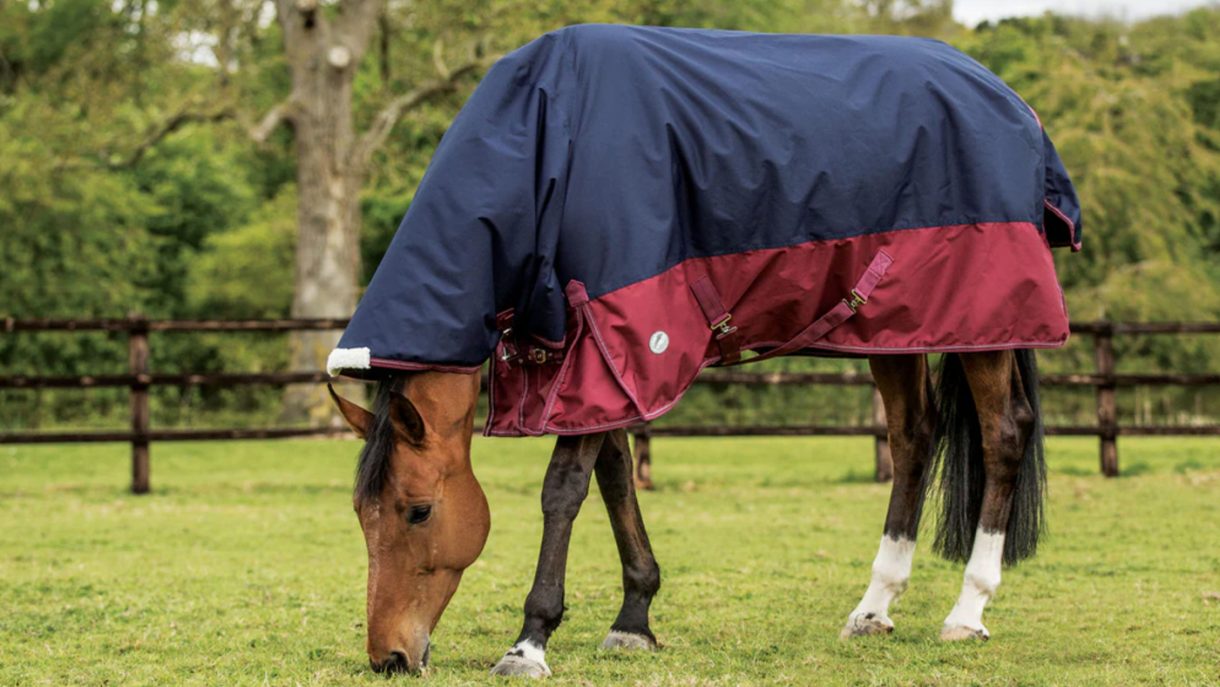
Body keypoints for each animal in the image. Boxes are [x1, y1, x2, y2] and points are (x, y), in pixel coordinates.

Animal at [325, 24, 1079, 675]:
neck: (547, 140)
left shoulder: (614, 333)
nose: (390, 657)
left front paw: (530, 641)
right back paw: (873, 608)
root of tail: (1012, 103)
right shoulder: (606, 354)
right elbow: (616, 477)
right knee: (915, 437)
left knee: (1002, 434)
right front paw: (633, 618)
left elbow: (564, 489)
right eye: (360, 513)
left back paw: (967, 610)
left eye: (418, 510)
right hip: (898, 325)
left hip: (988, 318)